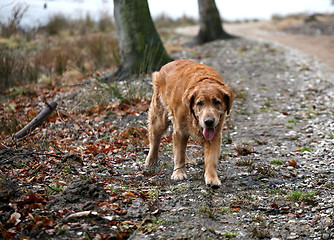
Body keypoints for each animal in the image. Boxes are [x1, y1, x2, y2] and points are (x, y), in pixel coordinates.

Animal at [145, 59, 234, 187]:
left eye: (217, 102)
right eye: (199, 103)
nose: (208, 121)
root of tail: (163, 67)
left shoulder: (214, 134)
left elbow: (211, 159)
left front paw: (212, 178)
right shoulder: (180, 130)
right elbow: (179, 155)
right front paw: (179, 173)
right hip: (159, 118)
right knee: (155, 139)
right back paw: (151, 160)